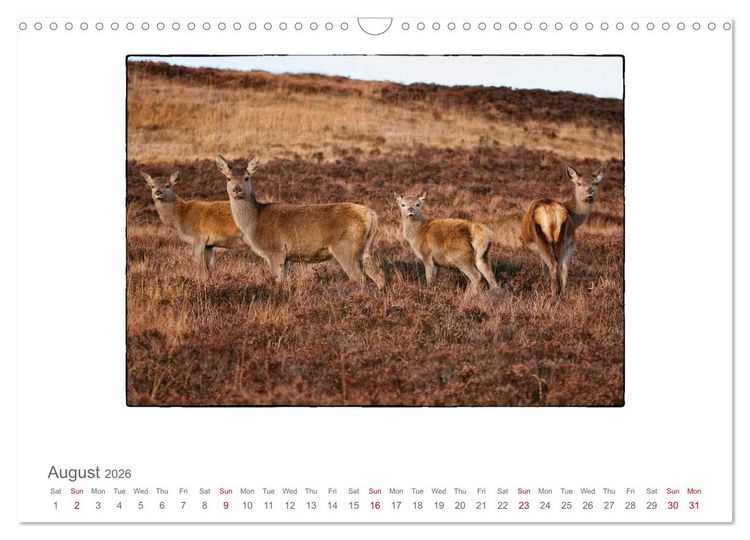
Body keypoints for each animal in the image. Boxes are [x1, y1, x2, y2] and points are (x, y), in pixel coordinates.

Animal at [215, 154, 385, 289]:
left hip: (345, 247)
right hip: (364, 248)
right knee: (379, 275)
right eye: (228, 178)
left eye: (247, 177)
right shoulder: (285, 256)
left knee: (359, 278)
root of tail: (371, 215)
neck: (254, 223)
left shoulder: (275, 250)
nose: (237, 189)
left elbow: (278, 281)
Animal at [520, 161, 609, 297]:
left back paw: (554, 295)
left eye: (596, 183)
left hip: (546, 239)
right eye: (579, 183)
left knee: (555, 265)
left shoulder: (569, 243)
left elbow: (549, 269)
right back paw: (559, 293)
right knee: (559, 265)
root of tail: (551, 212)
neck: (575, 219)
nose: (590, 192)